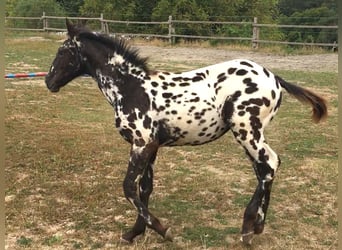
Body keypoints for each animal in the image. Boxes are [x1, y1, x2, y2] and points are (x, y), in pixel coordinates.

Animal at [44, 20, 326, 245]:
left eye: (63, 51)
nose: (48, 81)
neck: (130, 87)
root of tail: (274, 77)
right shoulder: (151, 147)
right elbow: (145, 189)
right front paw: (135, 232)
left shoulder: (142, 144)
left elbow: (128, 188)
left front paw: (162, 230)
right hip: (249, 134)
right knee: (263, 169)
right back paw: (252, 226)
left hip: (247, 130)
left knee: (269, 164)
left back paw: (250, 228)